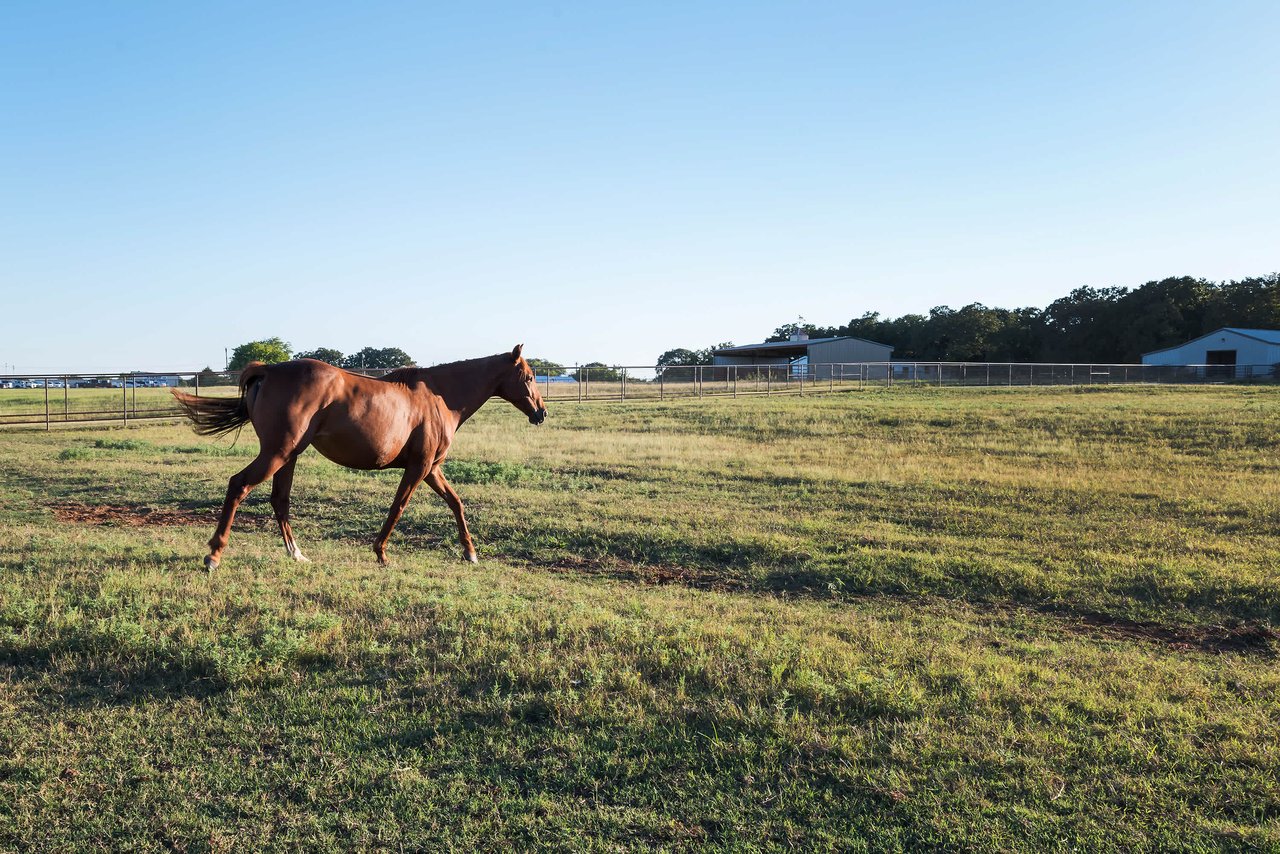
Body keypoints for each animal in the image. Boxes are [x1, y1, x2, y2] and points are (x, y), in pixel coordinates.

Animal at [171, 348, 545, 573]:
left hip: (288, 456)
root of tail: (269, 370)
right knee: (239, 485)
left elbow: (456, 504)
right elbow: (398, 507)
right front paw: (381, 553)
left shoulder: (432, 470)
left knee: (279, 500)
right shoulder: (419, 468)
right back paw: (214, 555)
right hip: (277, 454)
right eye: (528, 377)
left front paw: (470, 552)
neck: (439, 396)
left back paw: (296, 553)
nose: (541, 413)